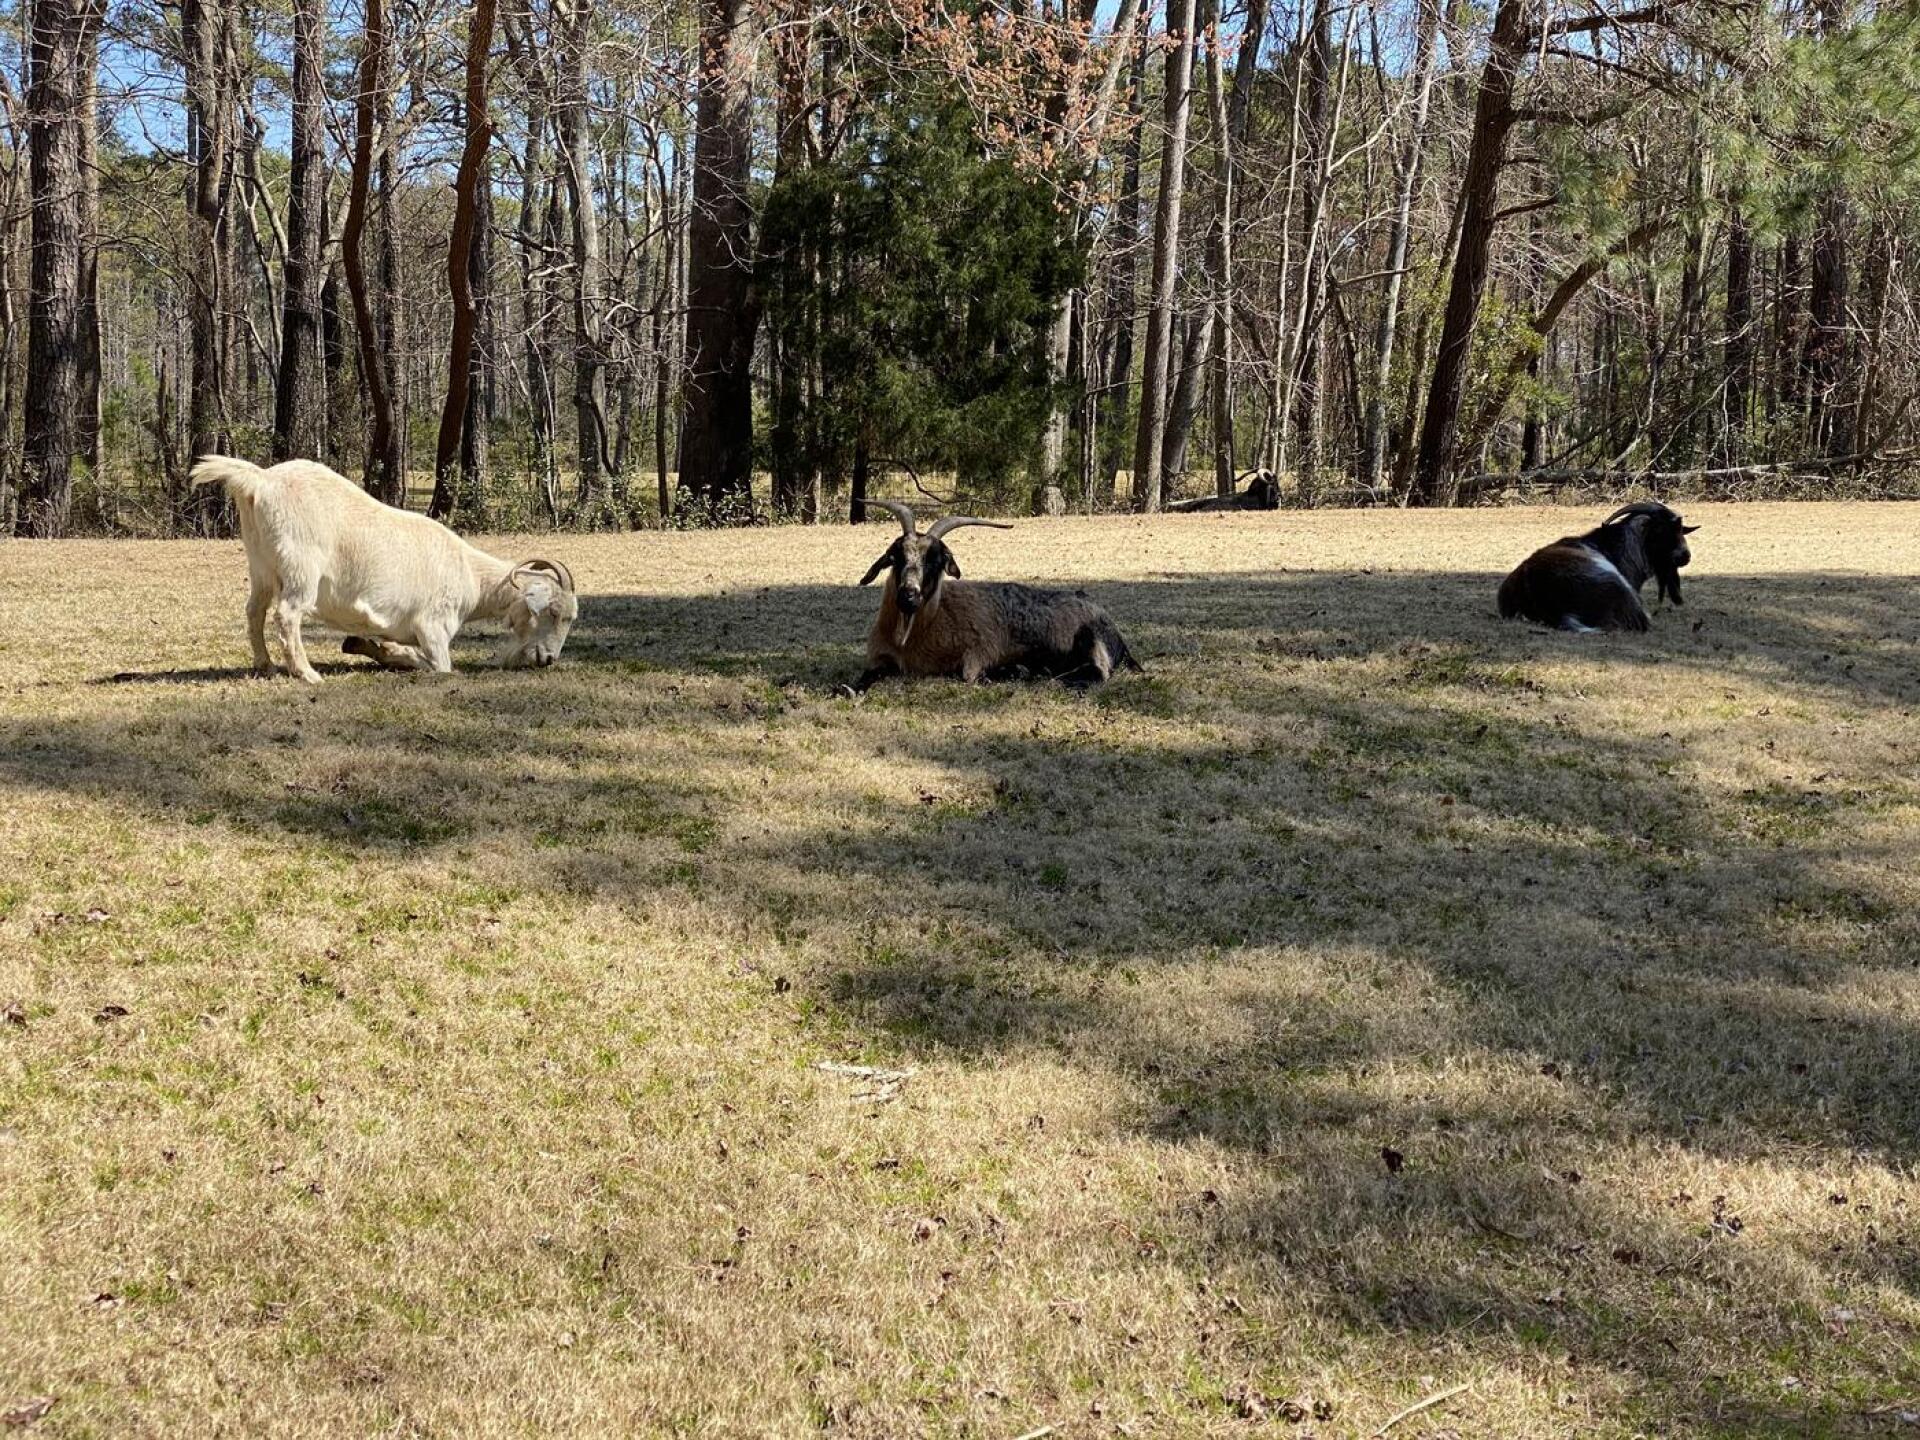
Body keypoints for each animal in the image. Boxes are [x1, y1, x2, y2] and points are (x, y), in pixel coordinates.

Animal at [190, 455, 579, 682]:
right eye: (554, 612)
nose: (548, 659)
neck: (471, 577)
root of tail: (260, 481)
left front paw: (364, 644)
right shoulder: (433, 626)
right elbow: (439, 666)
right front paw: (385, 651)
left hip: (261, 564)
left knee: (254, 609)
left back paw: (266, 665)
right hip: (300, 566)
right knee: (287, 614)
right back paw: (307, 674)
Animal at [851, 501, 1141, 690]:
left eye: (936, 561)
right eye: (896, 557)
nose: (908, 595)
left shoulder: (979, 653)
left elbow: (969, 677)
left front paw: (1010, 671)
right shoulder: (880, 659)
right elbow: (862, 680)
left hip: (1090, 641)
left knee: (1096, 674)